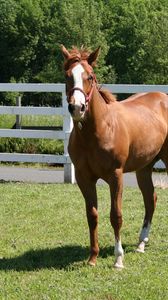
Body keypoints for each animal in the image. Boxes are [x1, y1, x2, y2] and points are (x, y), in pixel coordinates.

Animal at [60, 44, 168, 268]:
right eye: (67, 76)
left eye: (90, 76)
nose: (77, 107)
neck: (98, 130)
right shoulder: (84, 178)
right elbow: (92, 215)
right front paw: (93, 257)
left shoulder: (115, 176)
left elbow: (115, 216)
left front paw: (118, 259)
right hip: (143, 169)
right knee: (150, 199)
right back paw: (141, 243)